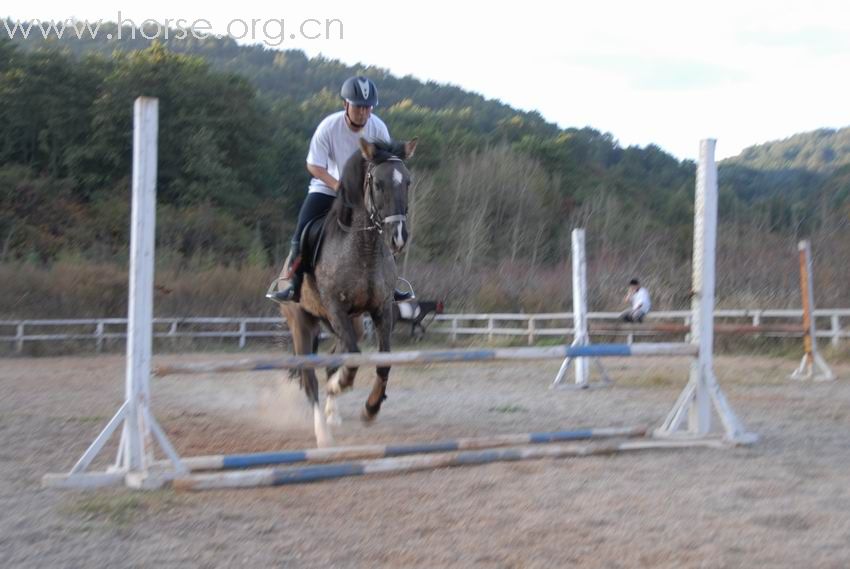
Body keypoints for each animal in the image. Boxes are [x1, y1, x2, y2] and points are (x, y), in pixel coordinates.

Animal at [280, 139, 416, 448]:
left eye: (408, 182)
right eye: (378, 184)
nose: (398, 238)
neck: (363, 248)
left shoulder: (381, 309)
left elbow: (383, 362)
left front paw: (371, 408)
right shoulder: (335, 308)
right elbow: (353, 357)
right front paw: (341, 385)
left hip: (351, 323)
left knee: (335, 357)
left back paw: (333, 412)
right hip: (302, 322)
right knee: (310, 377)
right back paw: (322, 430)